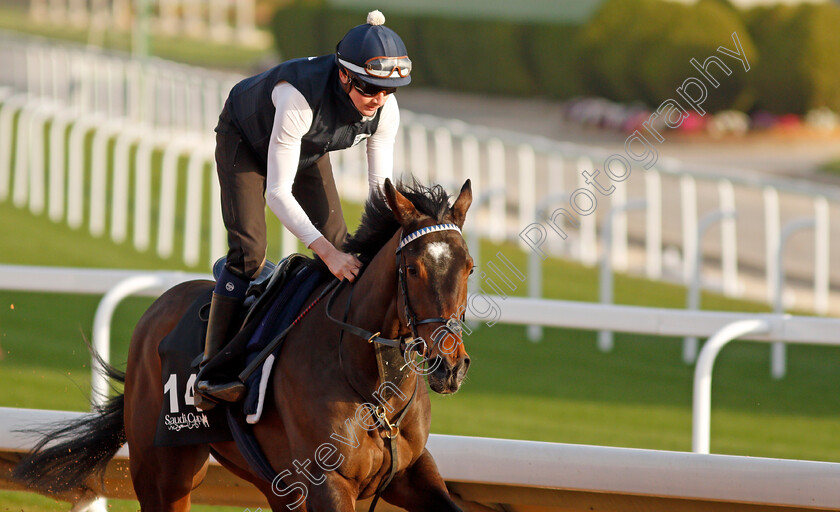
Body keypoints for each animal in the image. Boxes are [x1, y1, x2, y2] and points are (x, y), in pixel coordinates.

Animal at [13, 178, 476, 510]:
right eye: (413, 269)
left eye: (469, 267)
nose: (450, 365)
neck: (374, 385)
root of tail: (156, 309)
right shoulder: (329, 483)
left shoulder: (411, 473)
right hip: (163, 471)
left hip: (273, 482)